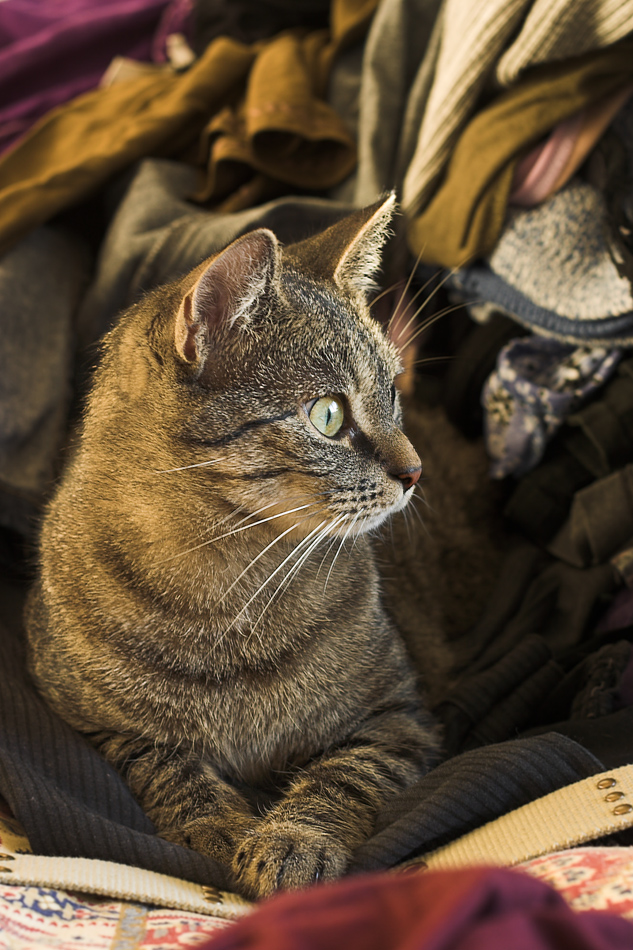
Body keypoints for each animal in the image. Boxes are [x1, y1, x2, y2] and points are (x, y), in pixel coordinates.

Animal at [24, 195, 444, 900]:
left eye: (392, 391)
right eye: (328, 414)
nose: (415, 472)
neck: (227, 585)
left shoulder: (399, 715)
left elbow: (342, 778)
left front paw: (291, 839)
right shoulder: (87, 719)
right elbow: (164, 761)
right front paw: (220, 825)